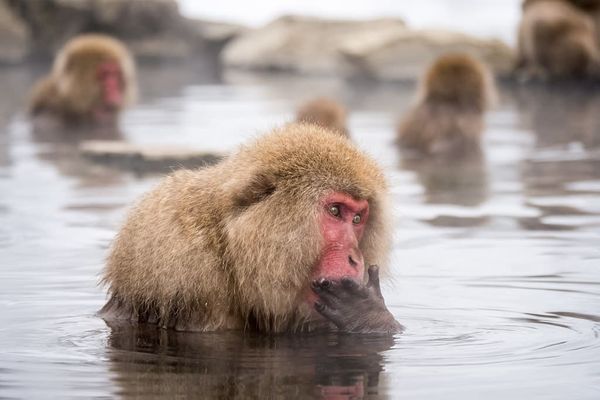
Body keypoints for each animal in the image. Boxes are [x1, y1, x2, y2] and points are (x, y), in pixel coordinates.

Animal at [101, 124, 404, 334]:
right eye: (335, 211)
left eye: (357, 219)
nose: (355, 258)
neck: (232, 252)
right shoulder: (185, 274)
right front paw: (366, 309)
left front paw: (368, 313)